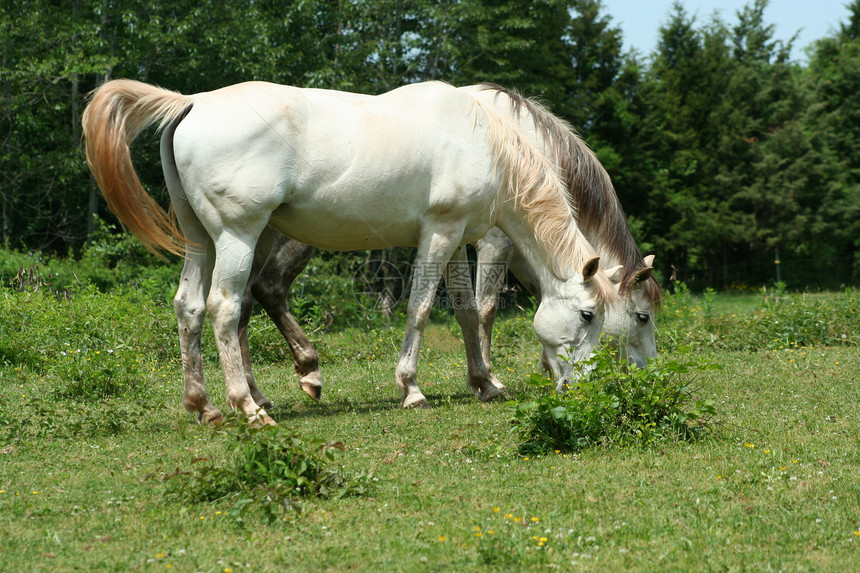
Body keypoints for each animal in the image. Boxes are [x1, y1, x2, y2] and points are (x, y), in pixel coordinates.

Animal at [82, 78, 620, 422]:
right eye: (589, 314)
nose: (585, 387)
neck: (483, 141)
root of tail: (191, 103)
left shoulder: (456, 238)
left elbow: (467, 312)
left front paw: (485, 383)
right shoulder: (439, 233)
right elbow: (421, 309)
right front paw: (411, 388)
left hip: (202, 241)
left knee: (189, 308)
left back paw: (205, 406)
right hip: (238, 237)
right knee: (225, 307)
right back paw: (249, 407)